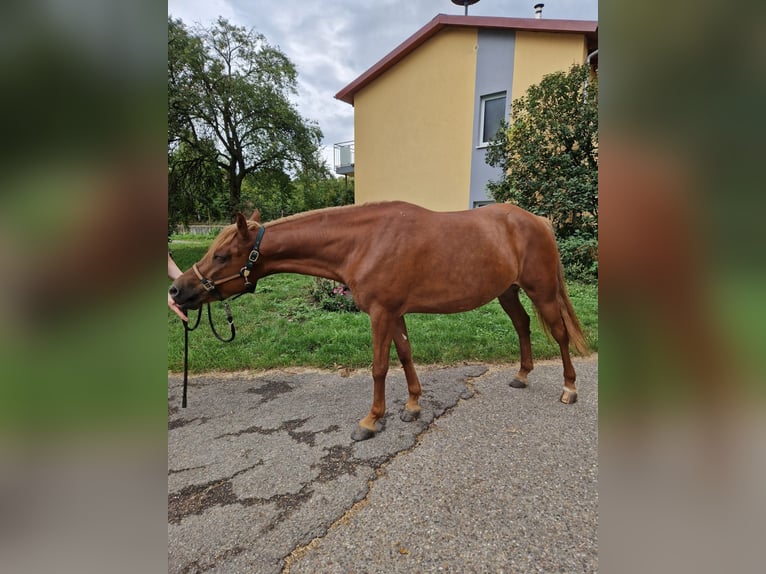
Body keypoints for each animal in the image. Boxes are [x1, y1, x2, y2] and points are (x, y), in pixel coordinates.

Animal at [169, 201, 589, 441]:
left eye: (222, 255)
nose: (178, 290)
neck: (364, 242)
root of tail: (538, 221)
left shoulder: (382, 313)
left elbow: (379, 367)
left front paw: (372, 420)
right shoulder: (395, 313)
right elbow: (404, 356)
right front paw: (413, 405)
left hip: (541, 291)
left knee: (560, 333)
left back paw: (569, 388)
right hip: (508, 292)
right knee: (523, 326)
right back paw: (522, 375)